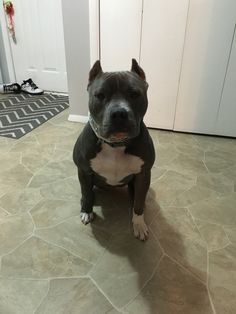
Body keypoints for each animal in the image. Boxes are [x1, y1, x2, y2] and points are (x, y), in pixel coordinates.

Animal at [73, 59, 156, 240]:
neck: (116, 144)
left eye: (134, 94)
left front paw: (138, 223)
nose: (119, 113)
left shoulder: (143, 174)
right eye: (100, 95)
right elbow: (86, 193)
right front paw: (86, 211)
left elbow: (139, 203)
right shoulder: (83, 171)